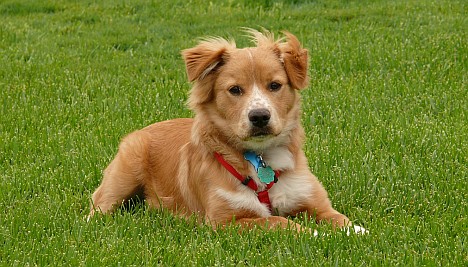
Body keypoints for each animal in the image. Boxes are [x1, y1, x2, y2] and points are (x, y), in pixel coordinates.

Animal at [88, 28, 366, 236]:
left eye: (275, 85)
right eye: (235, 90)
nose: (259, 116)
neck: (261, 158)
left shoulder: (312, 201)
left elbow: (339, 219)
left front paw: (356, 232)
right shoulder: (227, 221)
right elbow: (278, 222)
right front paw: (315, 234)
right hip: (123, 177)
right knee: (98, 205)